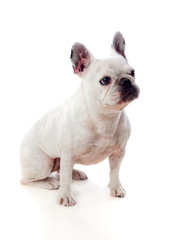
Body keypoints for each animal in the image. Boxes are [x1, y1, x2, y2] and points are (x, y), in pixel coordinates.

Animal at [20, 31, 140, 206]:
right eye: (105, 80)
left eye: (133, 72)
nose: (126, 81)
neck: (104, 116)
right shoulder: (68, 154)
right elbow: (65, 181)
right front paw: (65, 196)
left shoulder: (119, 152)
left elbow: (114, 172)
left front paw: (115, 187)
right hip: (42, 165)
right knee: (29, 179)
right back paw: (49, 183)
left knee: (61, 171)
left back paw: (75, 173)